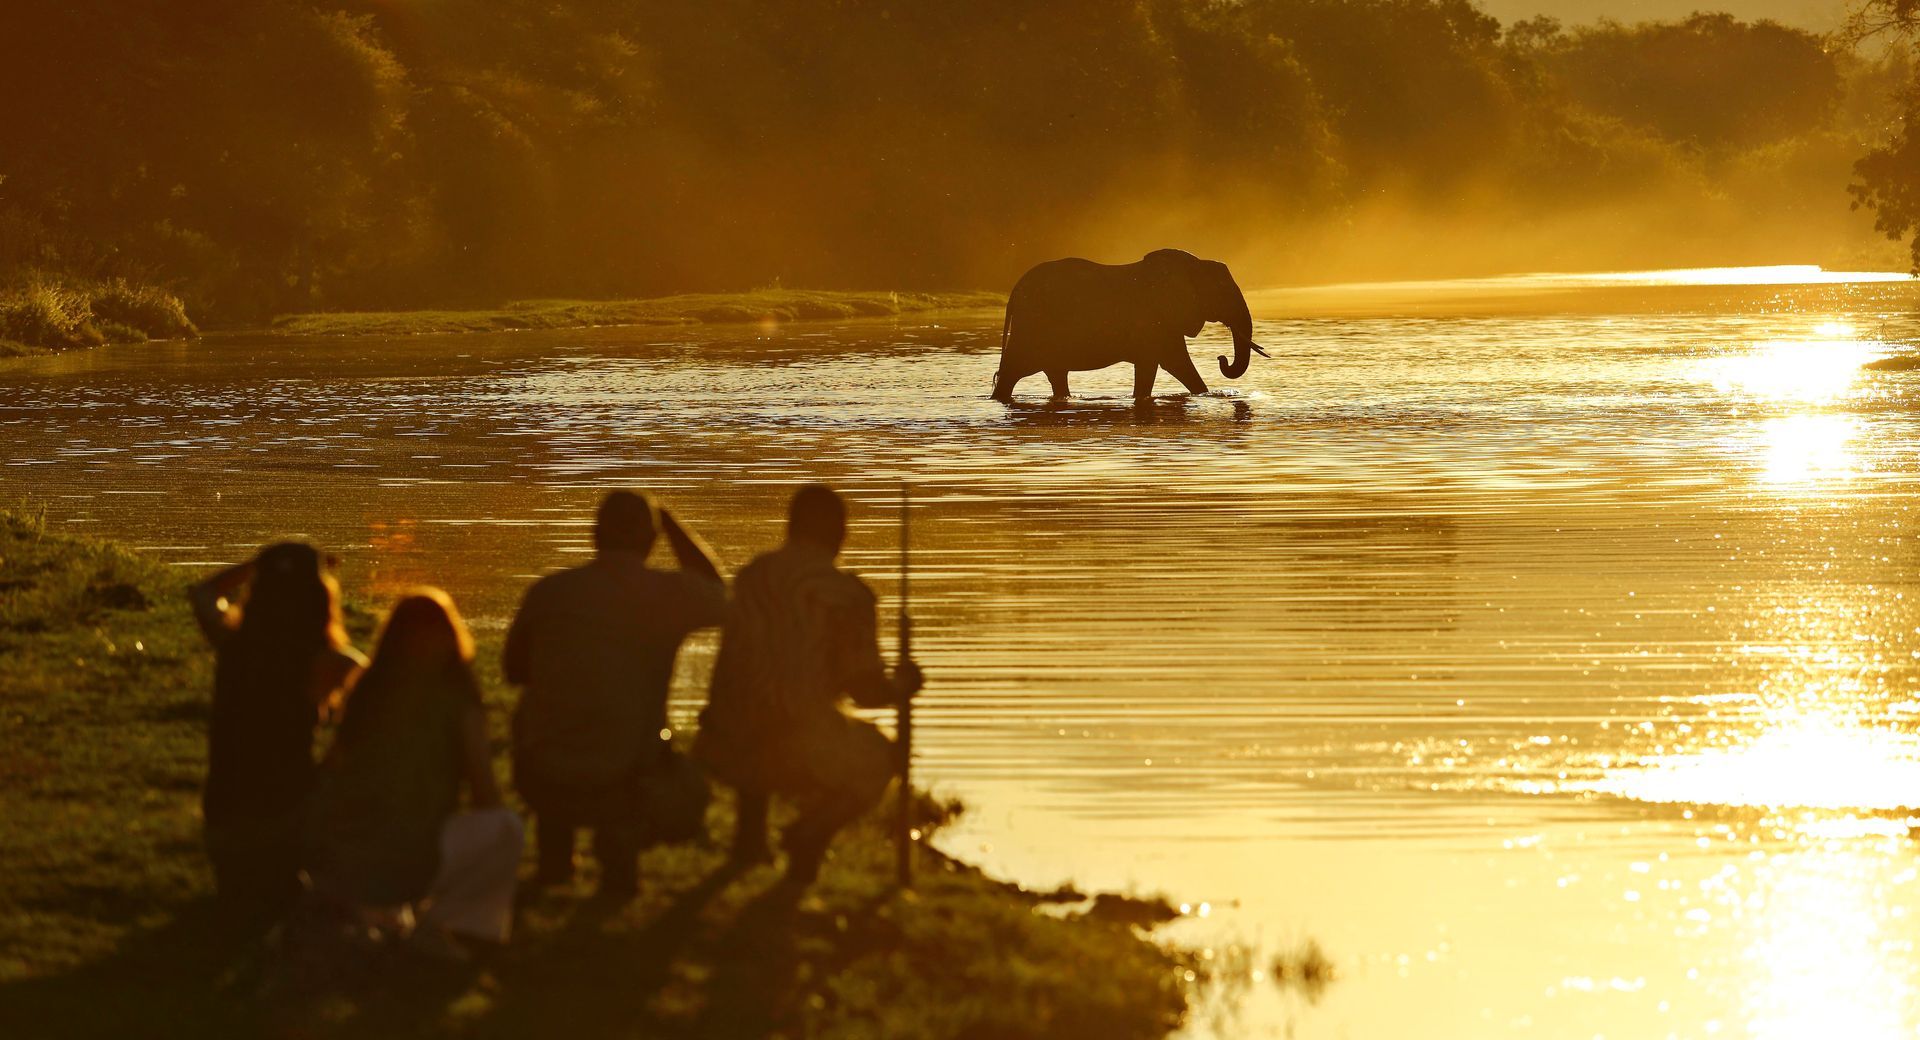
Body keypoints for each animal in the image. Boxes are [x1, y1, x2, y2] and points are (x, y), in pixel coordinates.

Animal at [990, 248, 1268, 402]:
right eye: (1222, 292)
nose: (1221, 358)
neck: (1195, 264)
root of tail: (1015, 290)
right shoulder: (1153, 319)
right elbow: (1167, 363)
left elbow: (1173, 364)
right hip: (1033, 326)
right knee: (1013, 371)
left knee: (1054, 375)